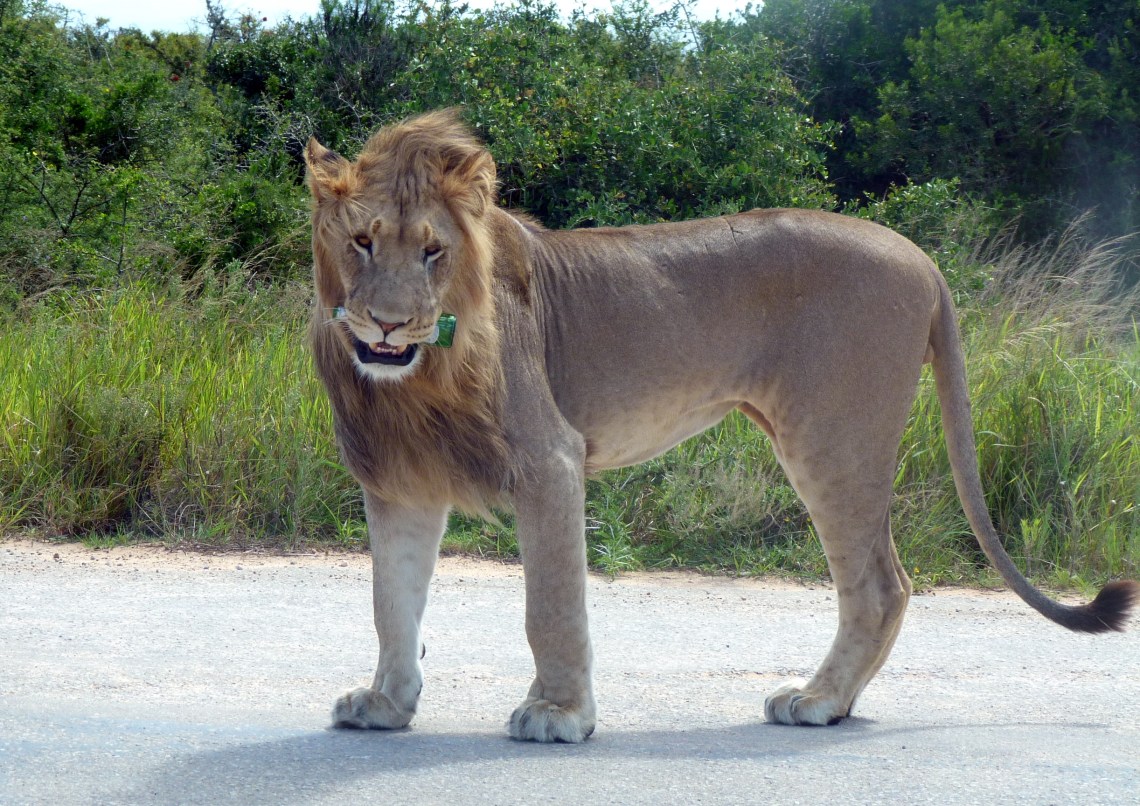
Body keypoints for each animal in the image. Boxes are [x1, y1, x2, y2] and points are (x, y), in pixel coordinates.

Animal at [303, 109, 1137, 742]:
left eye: (434, 252)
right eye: (362, 242)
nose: (389, 322)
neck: (413, 382)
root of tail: (923, 259)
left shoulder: (551, 460)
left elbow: (552, 606)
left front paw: (559, 714)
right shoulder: (400, 481)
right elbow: (391, 601)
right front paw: (386, 705)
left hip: (832, 439)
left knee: (881, 585)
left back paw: (818, 701)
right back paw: (837, 701)